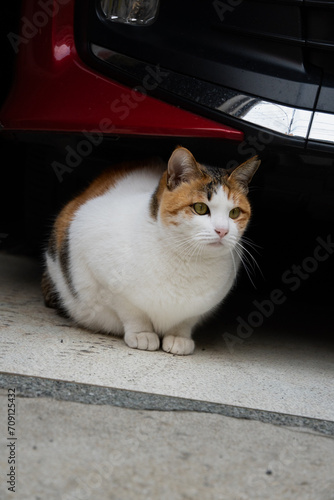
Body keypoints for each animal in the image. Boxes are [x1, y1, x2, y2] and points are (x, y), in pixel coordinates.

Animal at [41, 146, 260, 354]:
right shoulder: (100, 270)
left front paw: (178, 337)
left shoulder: (202, 306)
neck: (186, 258)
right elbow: (131, 311)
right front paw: (142, 333)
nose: (223, 230)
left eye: (234, 212)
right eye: (200, 208)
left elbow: (186, 320)